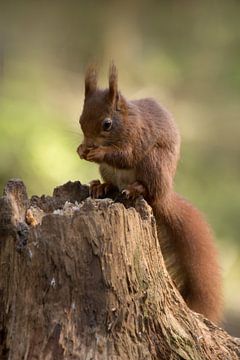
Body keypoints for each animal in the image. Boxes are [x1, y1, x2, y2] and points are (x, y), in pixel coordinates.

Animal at [77, 63, 223, 322]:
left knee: (147, 189)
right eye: (80, 120)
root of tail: (164, 195)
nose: (89, 145)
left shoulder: (138, 137)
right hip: (110, 172)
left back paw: (135, 188)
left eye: (107, 124)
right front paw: (81, 149)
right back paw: (102, 186)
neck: (126, 121)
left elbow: (125, 156)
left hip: (153, 163)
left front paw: (98, 152)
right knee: (113, 183)